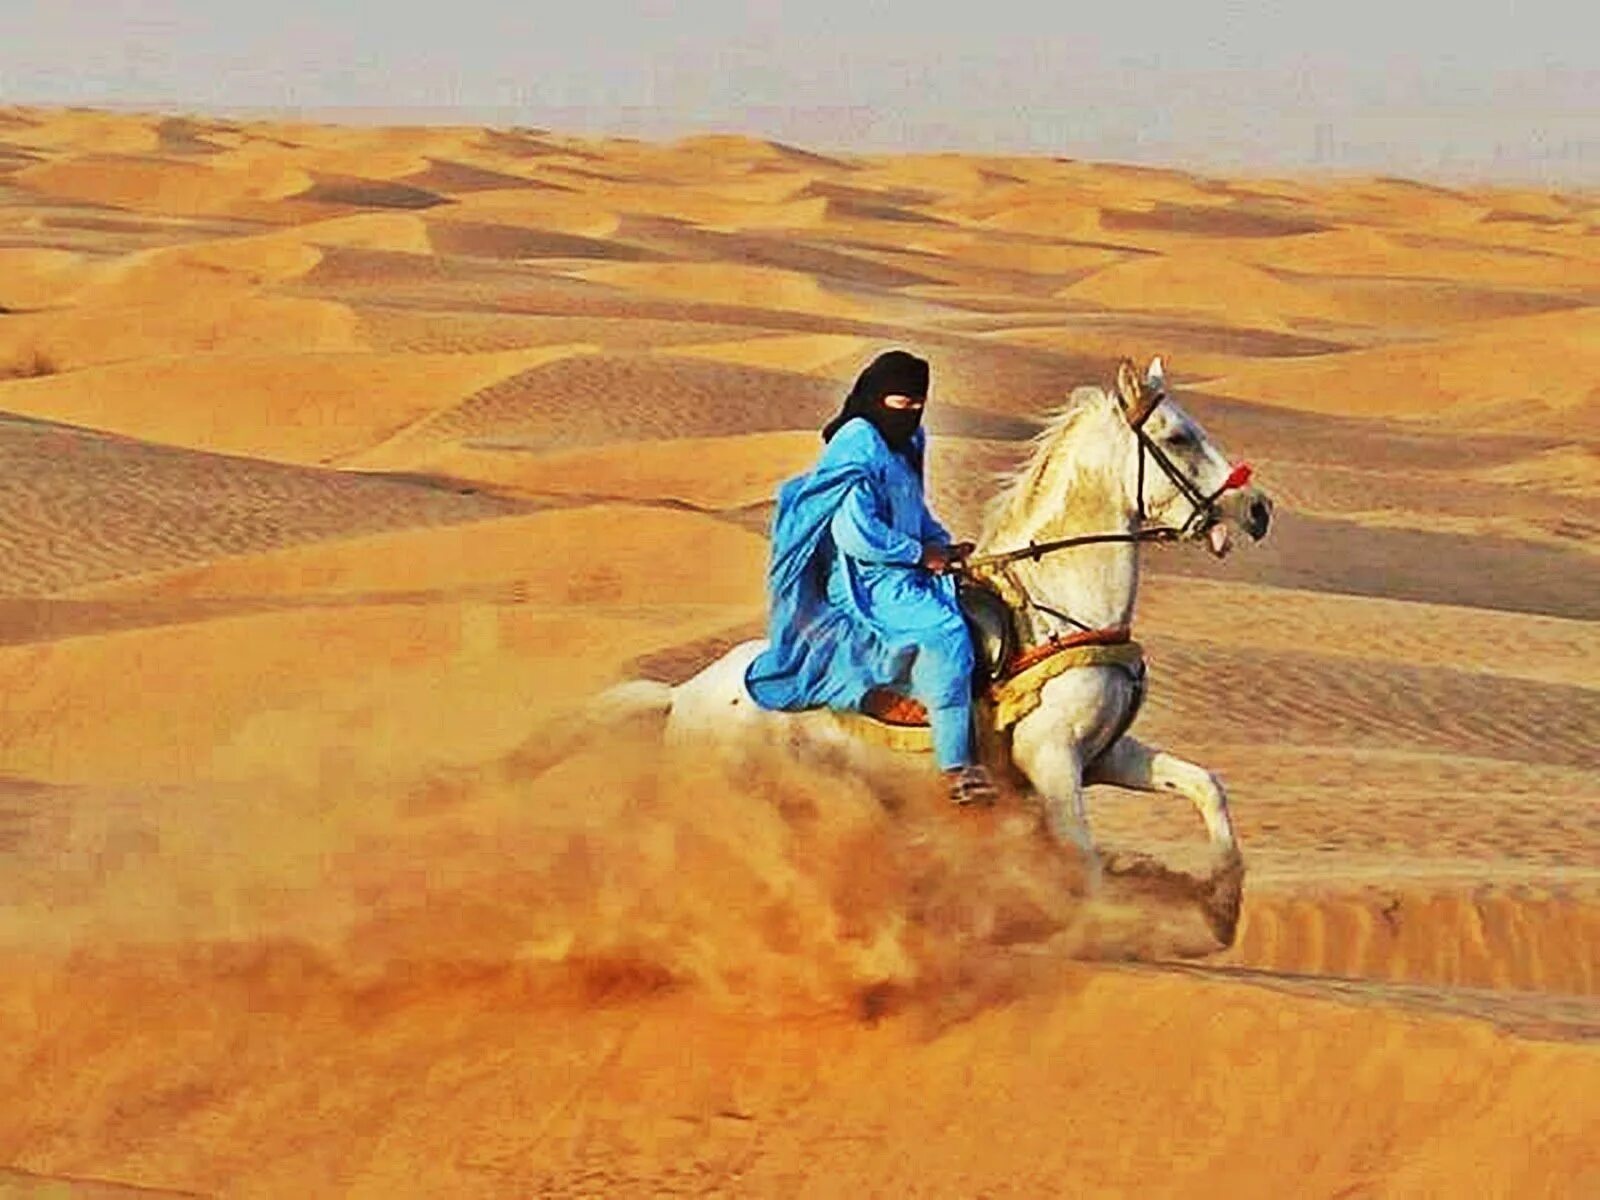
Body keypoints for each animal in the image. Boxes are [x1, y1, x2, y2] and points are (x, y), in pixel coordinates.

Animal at [611, 356, 1273, 876]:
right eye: (1179, 436)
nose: (1259, 509)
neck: (1062, 611)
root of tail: (682, 694)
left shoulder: (1103, 754)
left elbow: (1204, 785)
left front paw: (1224, 902)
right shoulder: (1053, 760)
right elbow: (1082, 862)